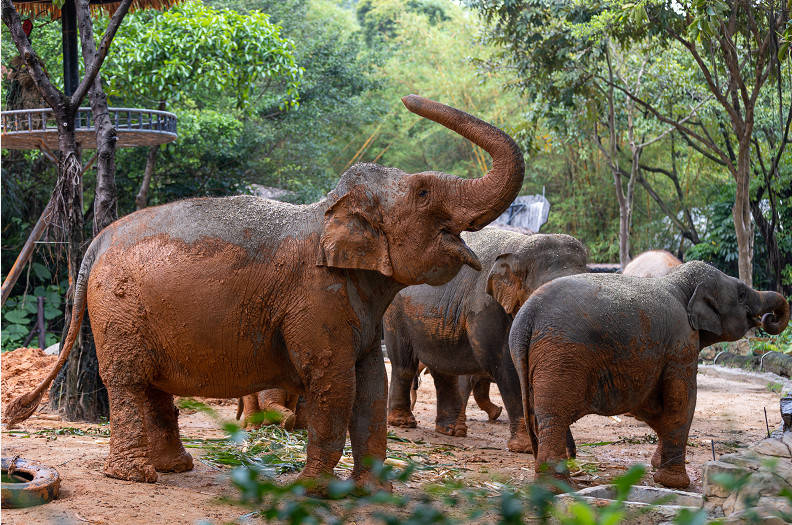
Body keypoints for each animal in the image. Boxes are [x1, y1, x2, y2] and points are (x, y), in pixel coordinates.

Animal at [6, 94, 528, 488]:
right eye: (422, 194)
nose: (407, 98)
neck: (327, 212)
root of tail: (96, 243)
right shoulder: (317, 299)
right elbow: (333, 383)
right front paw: (313, 490)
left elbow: (369, 386)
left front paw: (372, 492)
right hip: (118, 307)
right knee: (129, 380)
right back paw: (135, 478)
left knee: (152, 384)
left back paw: (176, 468)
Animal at [384, 227, 588, 452]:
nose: (571, 454)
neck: (520, 248)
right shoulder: (486, 308)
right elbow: (506, 368)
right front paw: (525, 448)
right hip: (395, 314)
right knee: (404, 364)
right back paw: (404, 423)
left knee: (443, 371)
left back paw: (452, 431)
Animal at [510, 260, 788, 488]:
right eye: (741, 294)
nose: (768, 317)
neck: (679, 282)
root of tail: (527, 316)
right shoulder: (681, 342)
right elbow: (681, 401)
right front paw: (675, 484)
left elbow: (653, 407)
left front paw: (657, 466)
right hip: (561, 356)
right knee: (553, 417)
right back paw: (556, 487)